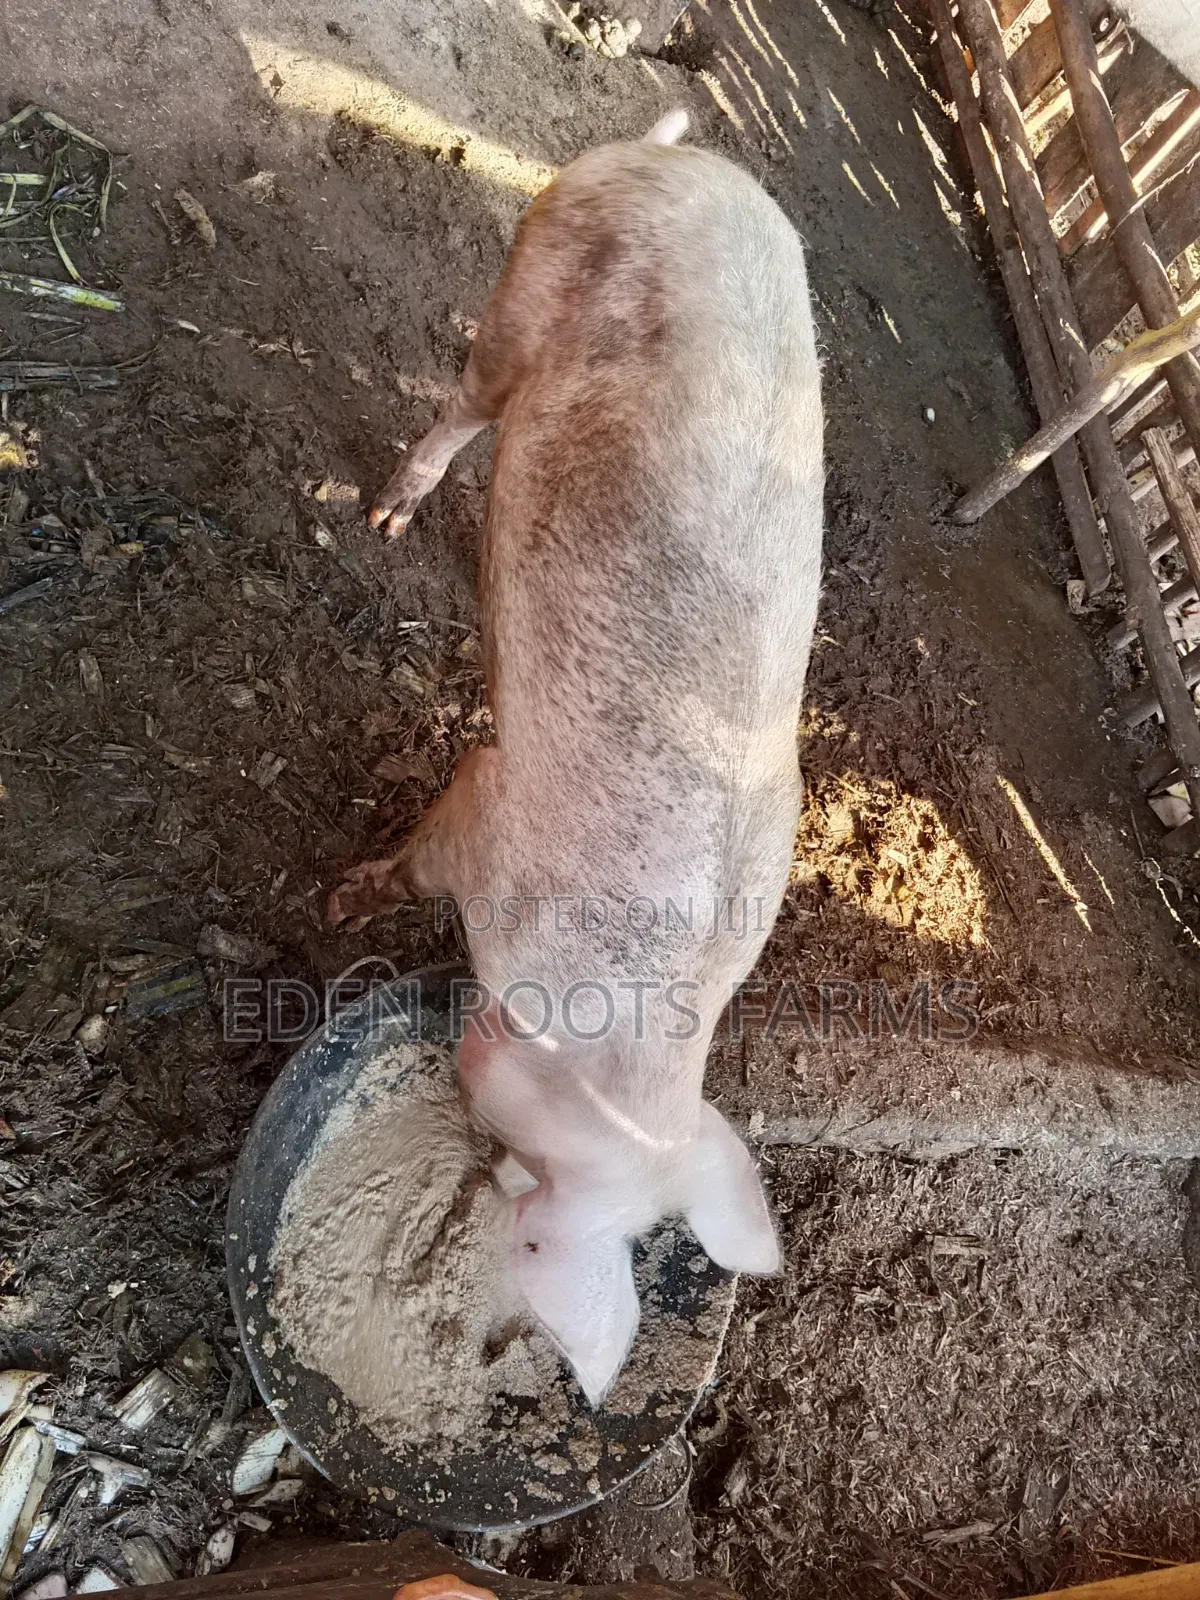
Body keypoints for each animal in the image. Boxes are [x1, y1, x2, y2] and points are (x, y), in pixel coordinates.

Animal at [328, 109, 824, 1404]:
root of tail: (683, 162)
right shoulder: (488, 811)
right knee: (468, 395)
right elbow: (417, 856)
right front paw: (345, 898)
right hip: (530, 275)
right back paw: (385, 518)